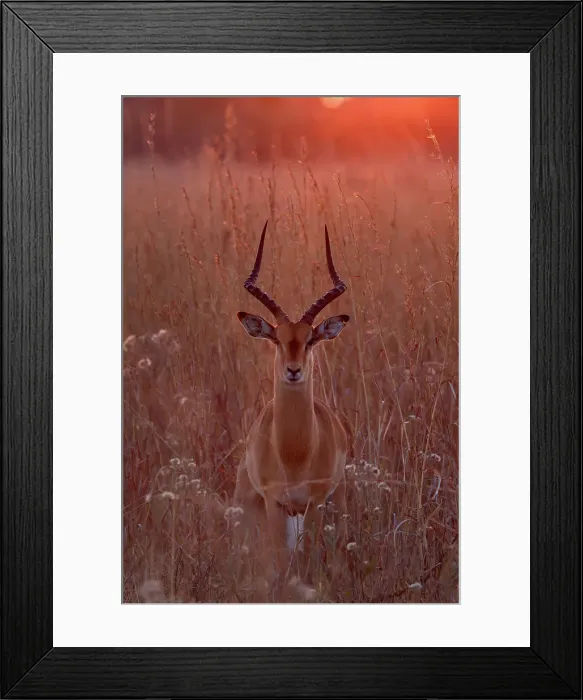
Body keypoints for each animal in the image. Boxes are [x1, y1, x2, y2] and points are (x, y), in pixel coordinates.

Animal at [234, 221, 350, 583]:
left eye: (310, 339)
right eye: (277, 339)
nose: (293, 370)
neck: (295, 453)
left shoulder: (313, 503)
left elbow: (308, 560)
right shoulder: (275, 503)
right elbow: (279, 563)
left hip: (326, 503)